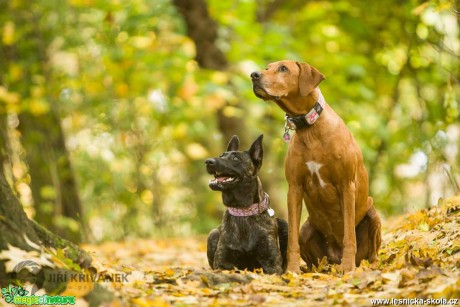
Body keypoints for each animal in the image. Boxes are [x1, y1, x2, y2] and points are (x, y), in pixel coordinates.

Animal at [206, 136, 288, 276]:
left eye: (235, 158)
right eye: (221, 155)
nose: (208, 161)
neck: (243, 212)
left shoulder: (272, 265)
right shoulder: (222, 264)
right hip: (213, 234)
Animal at [252, 60, 380, 272]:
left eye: (283, 68)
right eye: (267, 67)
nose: (253, 75)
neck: (310, 129)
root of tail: (333, 258)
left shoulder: (347, 185)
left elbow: (349, 235)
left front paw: (348, 267)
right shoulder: (294, 188)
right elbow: (292, 239)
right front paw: (292, 270)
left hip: (372, 215)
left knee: (371, 254)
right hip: (307, 230)